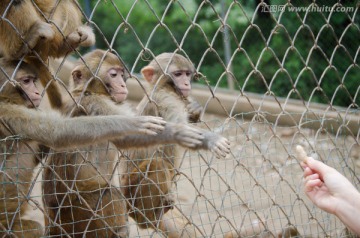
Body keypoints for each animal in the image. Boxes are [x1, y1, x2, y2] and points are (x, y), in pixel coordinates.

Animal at [40, 49, 208, 237]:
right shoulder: (102, 104)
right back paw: (146, 218)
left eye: (122, 75)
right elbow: (134, 133)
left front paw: (194, 111)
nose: (122, 85)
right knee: (117, 187)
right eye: (178, 74)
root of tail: (53, 223)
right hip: (83, 213)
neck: (87, 91)